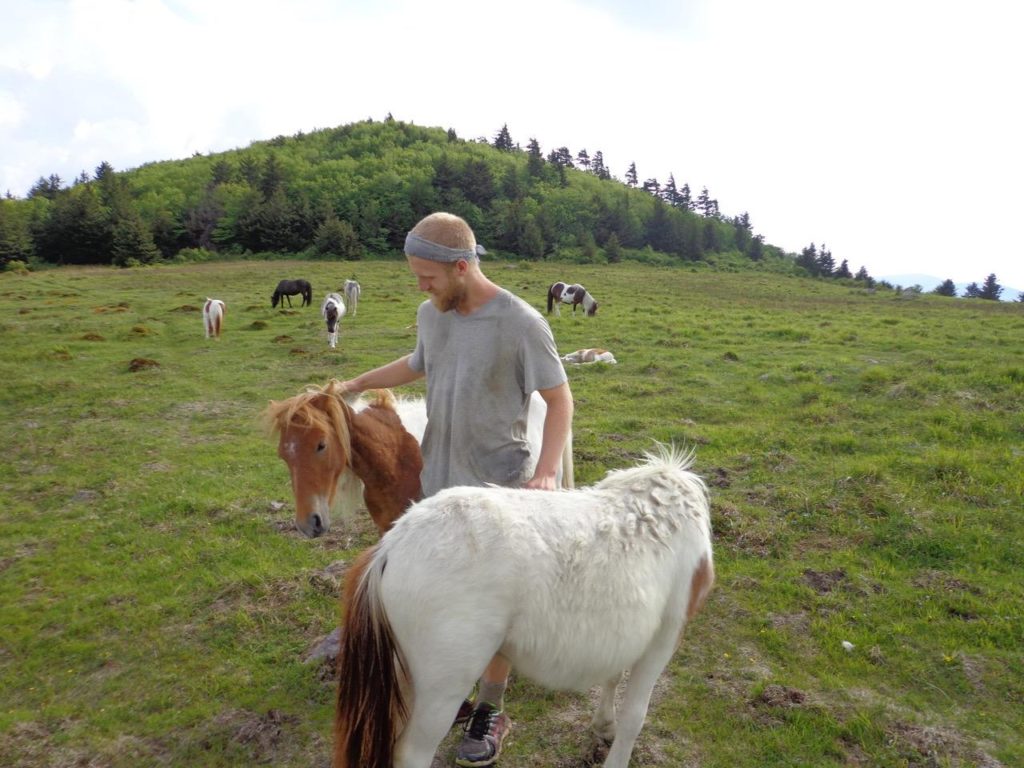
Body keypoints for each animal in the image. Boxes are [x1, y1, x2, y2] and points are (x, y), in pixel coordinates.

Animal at [333, 444, 712, 768]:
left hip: (403, 678)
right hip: (442, 686)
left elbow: (613, 677)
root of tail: (391, 545)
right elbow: (635, 715)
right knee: (412, 752)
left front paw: (604, 725)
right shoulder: (665, 636)